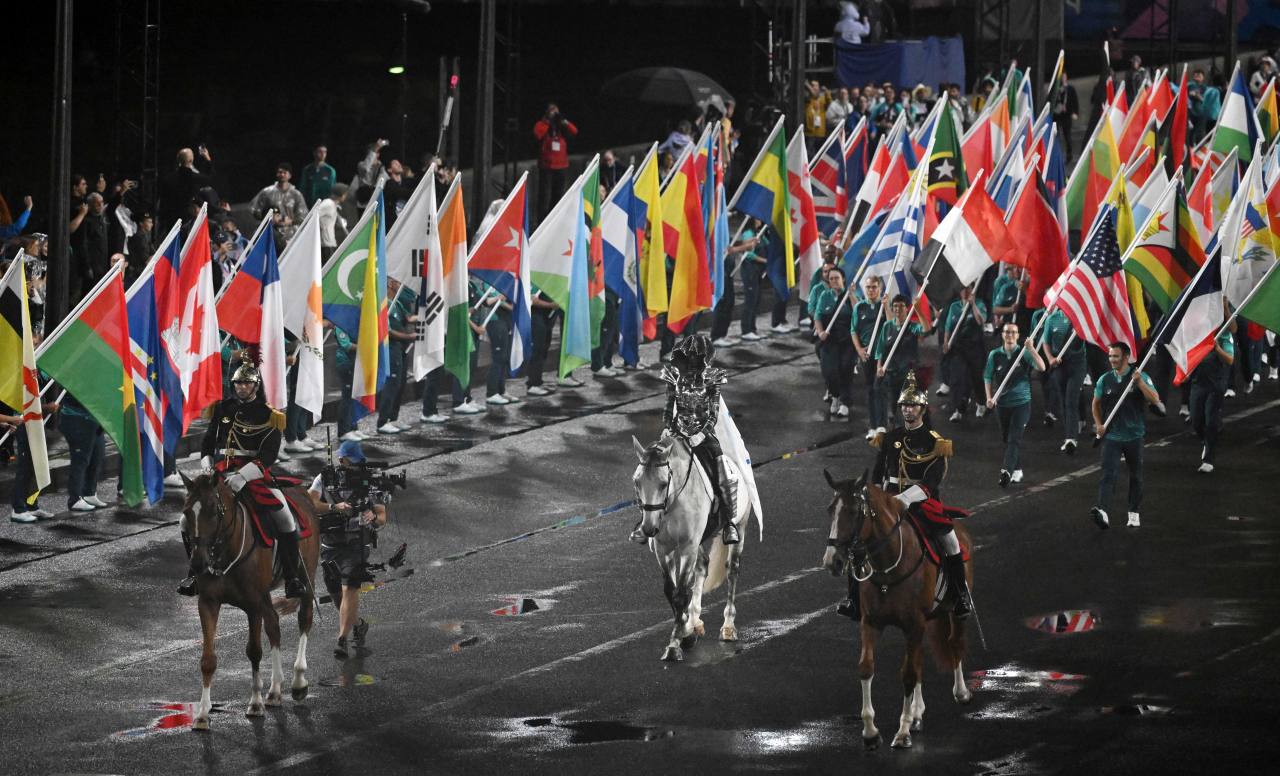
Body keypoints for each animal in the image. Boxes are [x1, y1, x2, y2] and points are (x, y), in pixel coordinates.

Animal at [179, 471, 320, 732]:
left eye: (213, 511)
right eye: (186, 512)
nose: (198, 564)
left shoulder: (253, 604)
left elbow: (254, 651)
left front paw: (255, 702)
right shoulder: (208, 603)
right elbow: (208, 660)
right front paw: (202, 714)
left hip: (307, 576)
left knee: (304, 620)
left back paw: (298, 680)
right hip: (267, 597)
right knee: (274, 624)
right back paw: (275, 689)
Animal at [634, 432, 752, 660]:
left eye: (663, 483)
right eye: (637, 482)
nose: (649, 529)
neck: (674, 501)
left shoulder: (687, 547)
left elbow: (680, 595)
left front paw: (675, 646)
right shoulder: (664, 550)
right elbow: (671, 591)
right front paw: (686, 632)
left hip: (740, 528)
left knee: (732, 571)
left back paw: (728, 627)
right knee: (703, 566)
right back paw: (695, 620)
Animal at [824, 471, 972, 752]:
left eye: (853, 511)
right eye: (829, 510)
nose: (832, 562)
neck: (888, 567)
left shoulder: (915, 624)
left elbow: (908, 675)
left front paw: (902, 732)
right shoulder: (871, 623)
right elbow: (866, 668)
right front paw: (871, 732)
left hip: (952, 611)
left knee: (955, 642)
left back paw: (961, 692)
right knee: (921, 658)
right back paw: (917, 713)